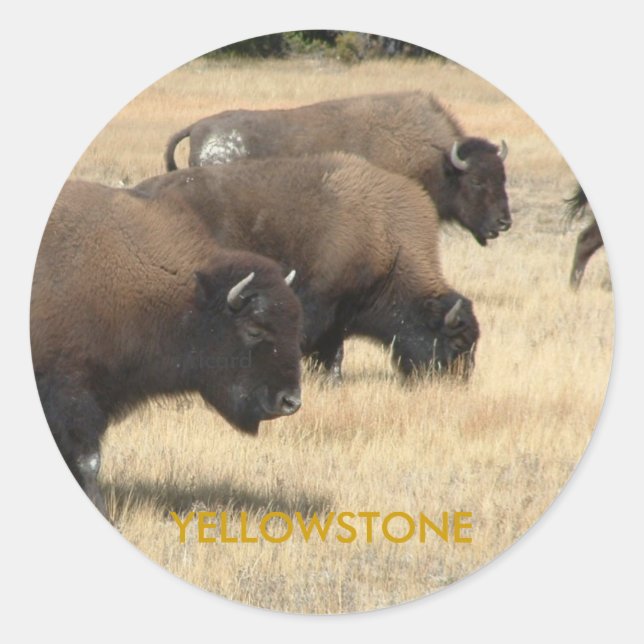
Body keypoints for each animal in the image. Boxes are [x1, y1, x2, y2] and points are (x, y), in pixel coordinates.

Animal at [135, 152, 480, 381]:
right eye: (459, 341)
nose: (459, 381)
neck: (386, 237)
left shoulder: (341, 313)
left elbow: (334, 348)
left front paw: (332, 379)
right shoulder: (321, 302)